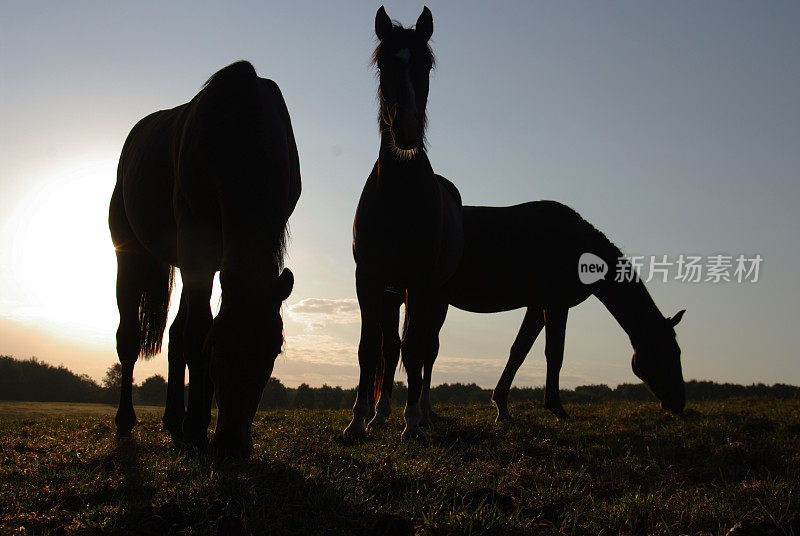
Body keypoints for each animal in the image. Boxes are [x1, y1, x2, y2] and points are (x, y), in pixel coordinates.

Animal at [108, 61, 302, 456]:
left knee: (174, 336)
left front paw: (191, 427)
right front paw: (197, 429)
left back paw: (173, 421)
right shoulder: (195, 242)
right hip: (131, 254)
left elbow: (187, 335)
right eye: (215, 346)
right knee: (129, 338)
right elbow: (195, 332)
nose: (230, 446)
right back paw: (126, 421)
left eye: (273, 350)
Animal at [342, 6, 466, 442]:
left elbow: (416, 349)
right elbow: (370, 348)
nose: (407, 129)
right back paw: (380, 414)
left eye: (425, 64)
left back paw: (423, 412)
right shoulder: (370, 278)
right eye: (384, 64)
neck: (397, 195)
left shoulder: (422, 281)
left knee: (427, 348)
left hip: (434, 296)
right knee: (390, 347)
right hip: (394, 295)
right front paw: (357, 421)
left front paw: (411, 425)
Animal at [368, 201, 688, 428]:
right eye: (670, 353)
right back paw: (381, 415)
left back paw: (417, 413)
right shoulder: (556, 304)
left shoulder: (537, 306)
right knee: (392, 350)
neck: (574, 243)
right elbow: (554, 354)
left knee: (417, 351)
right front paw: (557, 409)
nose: (679, 404)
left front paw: (501, 406)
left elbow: (519, 351)